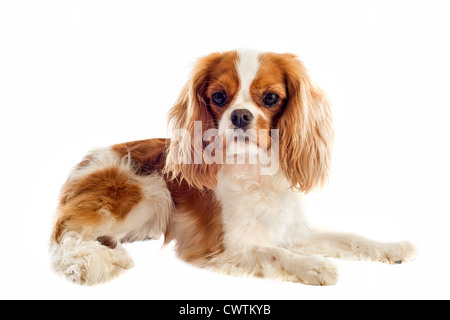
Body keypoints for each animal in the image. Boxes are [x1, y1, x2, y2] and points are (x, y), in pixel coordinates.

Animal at [50, 48, 414, 286]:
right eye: (219, 97)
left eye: (270, 98)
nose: (240, 115)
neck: (254, 167)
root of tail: (82, 164)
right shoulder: (224, 248)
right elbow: (273, 253)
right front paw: (314, 266)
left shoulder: (295, 231)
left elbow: (349, 237)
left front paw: (392, 248)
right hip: (148, 192)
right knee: (67, 238)